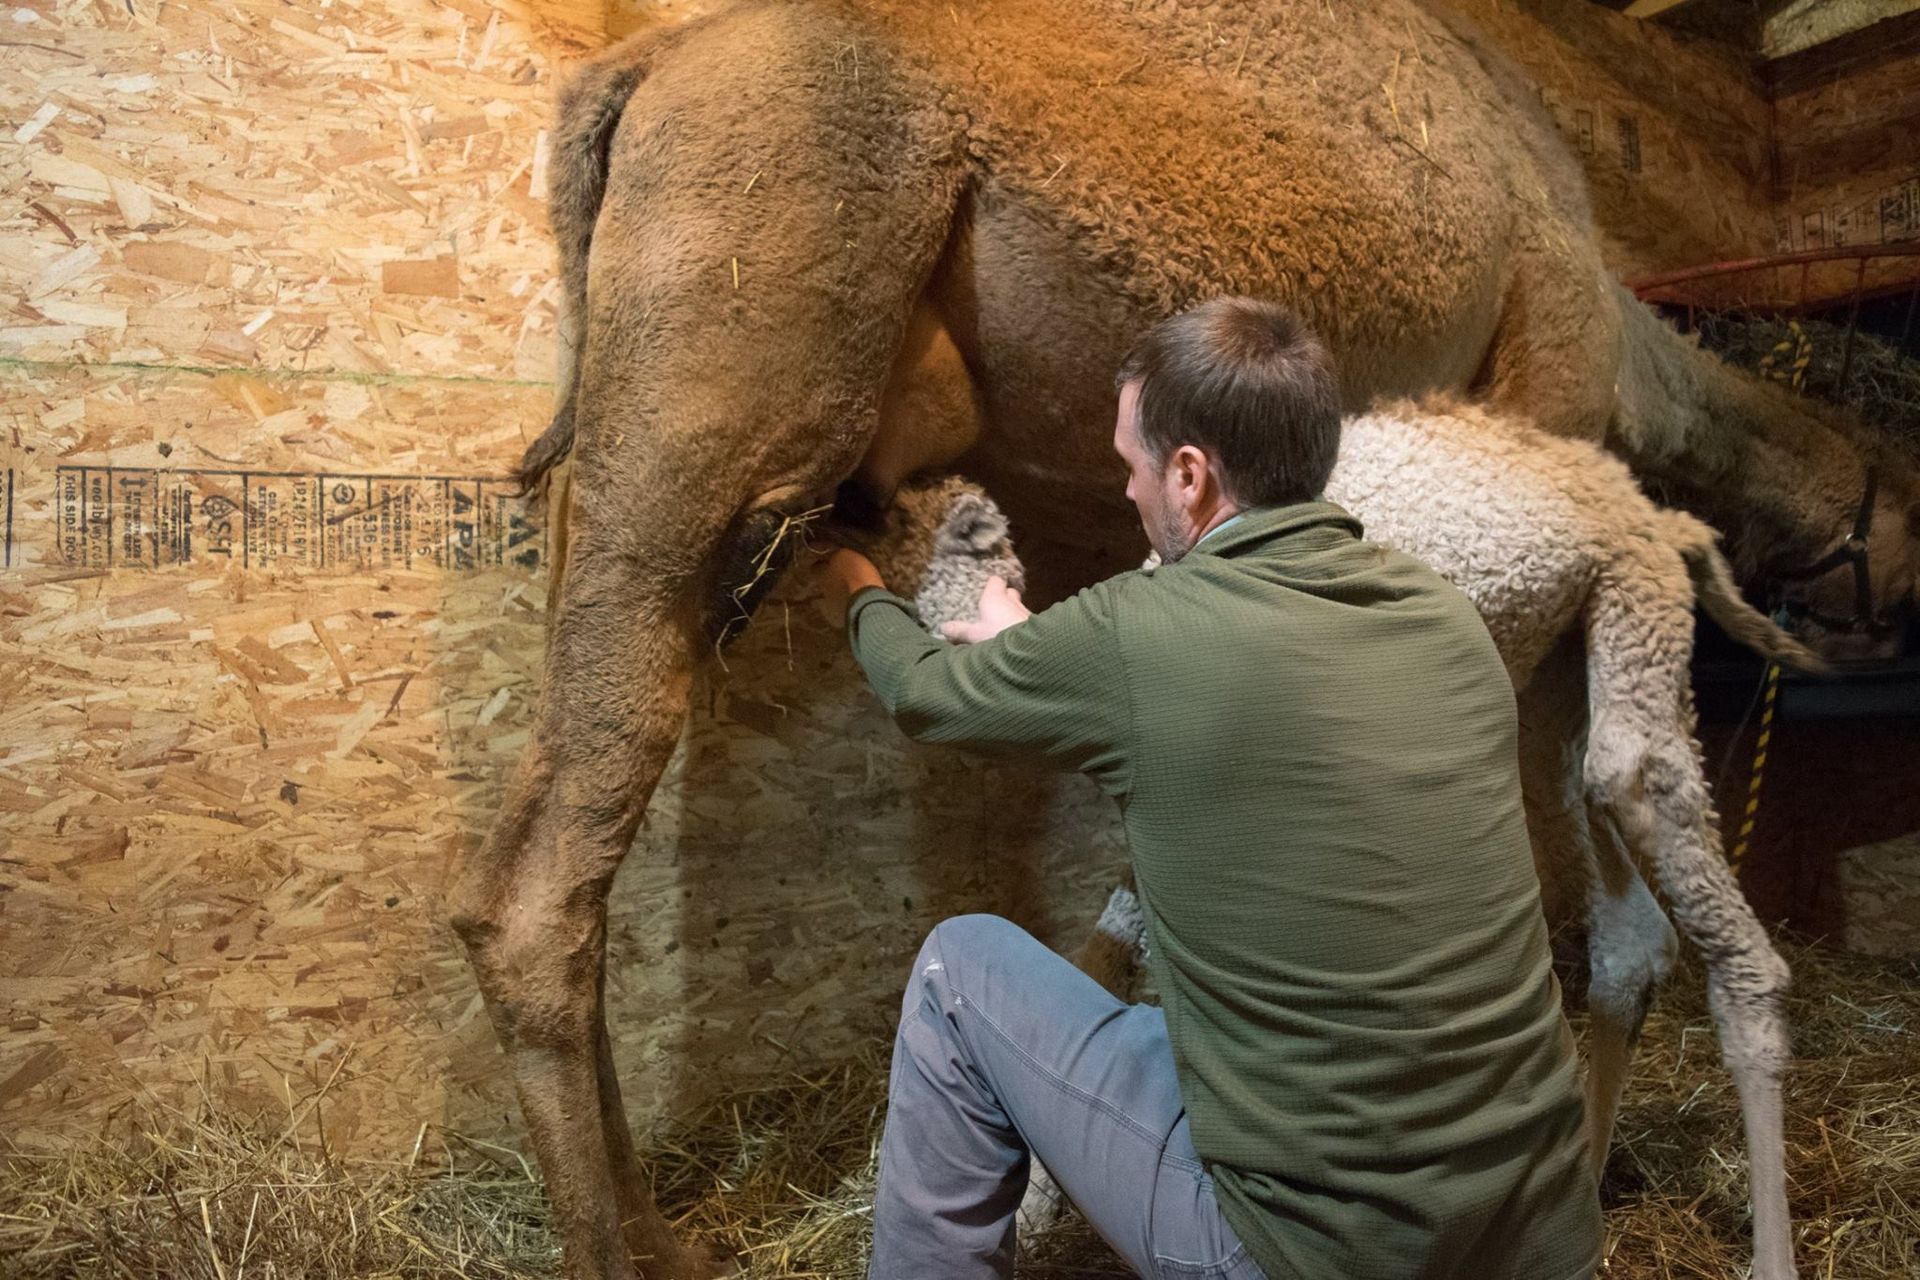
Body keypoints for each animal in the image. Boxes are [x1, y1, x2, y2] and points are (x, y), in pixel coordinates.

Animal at [449, 3, 1920, 1277]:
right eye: (1906, 519)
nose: (1884, 633)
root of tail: (637, 77)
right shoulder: (1536, 391)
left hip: (623, 444)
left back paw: (655, 1226)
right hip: (723, 386)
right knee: (537, 880)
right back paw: (623, 1251)